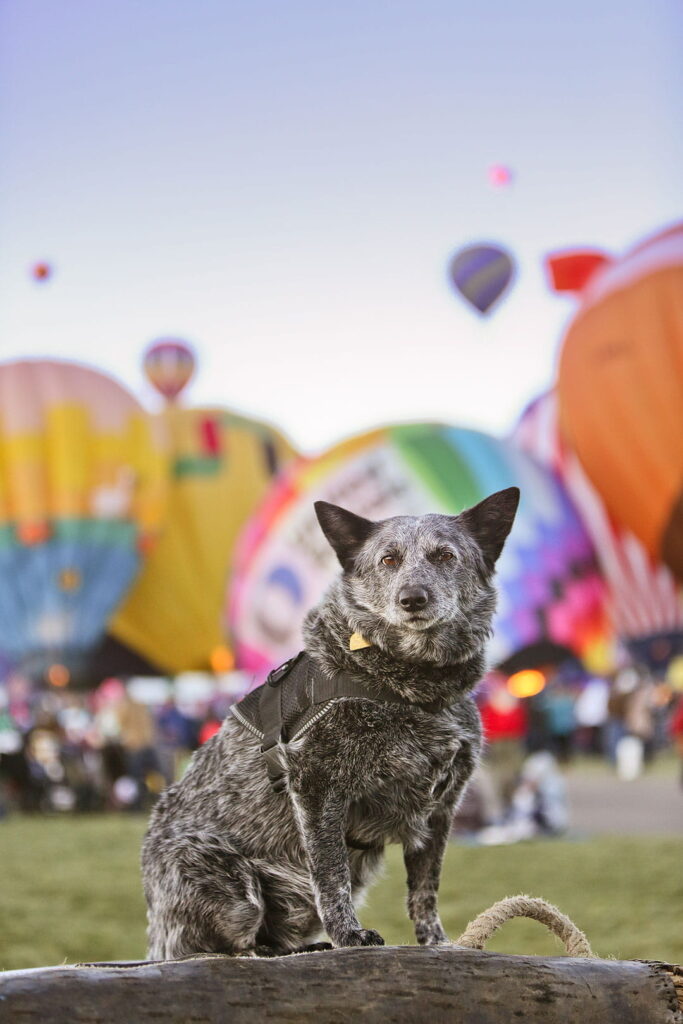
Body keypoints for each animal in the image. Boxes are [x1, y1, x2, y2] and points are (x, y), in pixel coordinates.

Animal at [143, 483, 518, 954]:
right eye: (388, 559)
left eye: (444, 556)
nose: (412, 599)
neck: (412, 688)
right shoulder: (316, 784)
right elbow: (330, 873)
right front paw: (348, 934)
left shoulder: (441, 808)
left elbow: (424, 889)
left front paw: (436, 942)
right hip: (229, 883)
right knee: (227, 946)